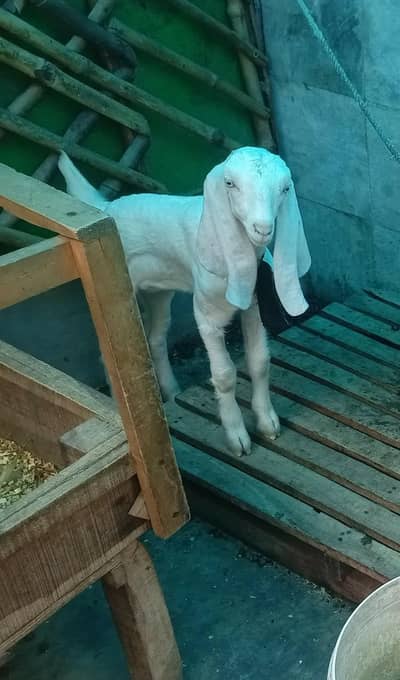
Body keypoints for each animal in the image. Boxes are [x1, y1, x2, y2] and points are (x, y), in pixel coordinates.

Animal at [58, 147, 310, 456]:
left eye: (285, 188)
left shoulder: (254, 307)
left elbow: (260, 361)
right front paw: (237, 437)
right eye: (230, 183)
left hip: (158, 292)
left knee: (156, 338)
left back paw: (172, 390)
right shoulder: (206, 313)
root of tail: (104, 207)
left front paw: (267, 423)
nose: (262, 228)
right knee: (108, 351)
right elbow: (224, 374)